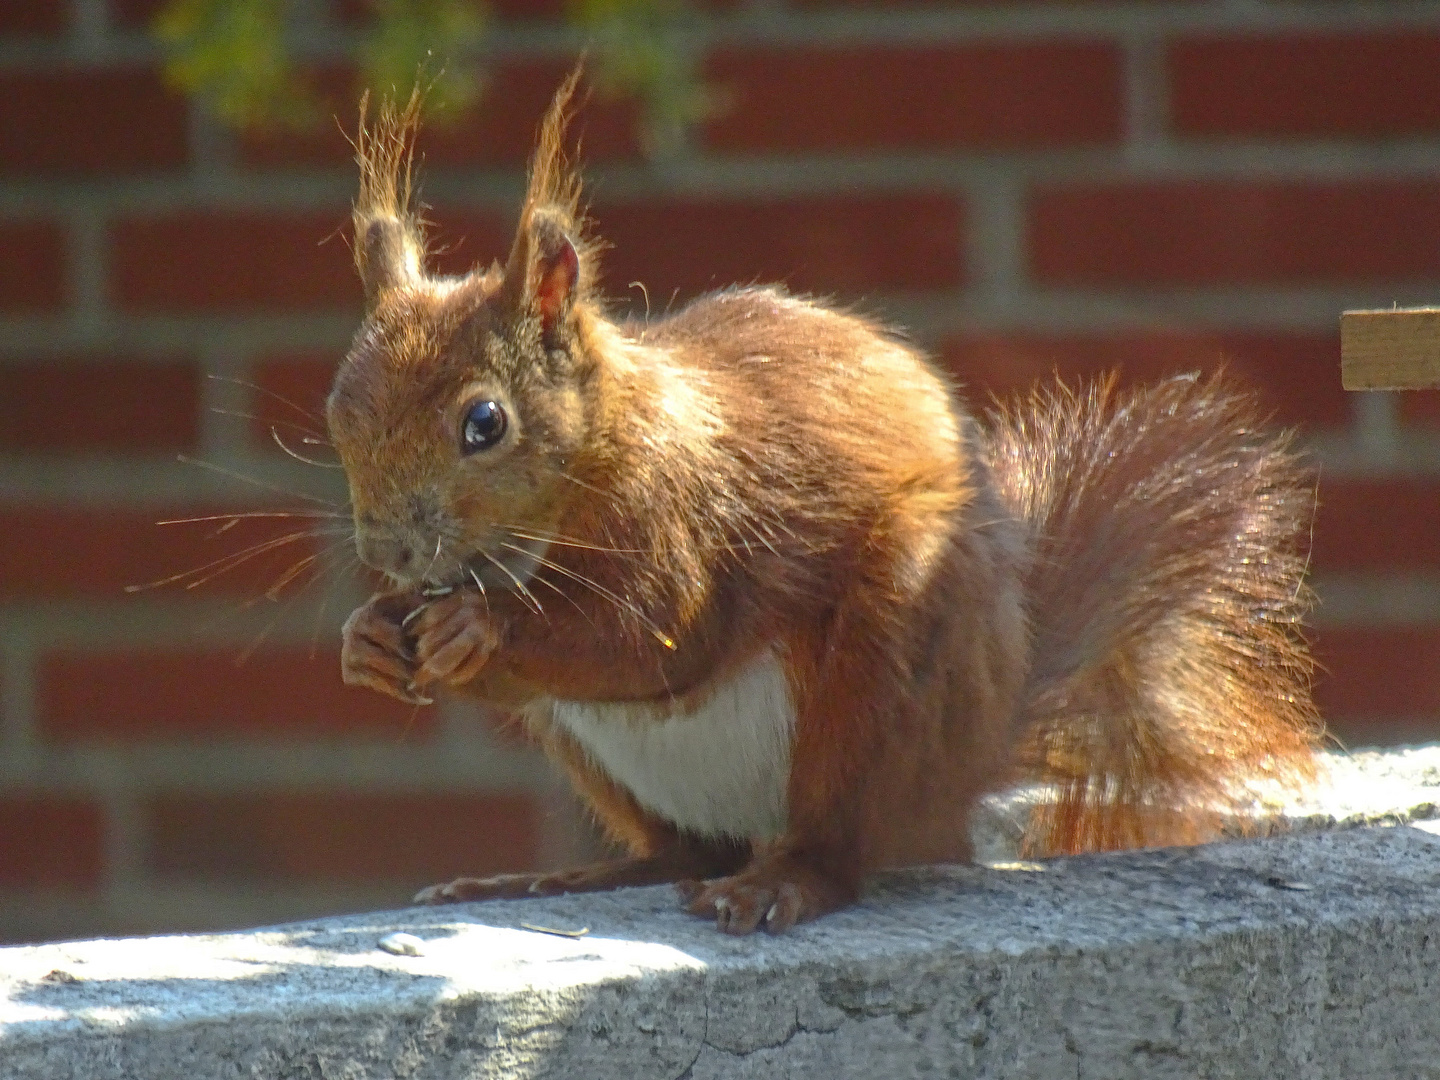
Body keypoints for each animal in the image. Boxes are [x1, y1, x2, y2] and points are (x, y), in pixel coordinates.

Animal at [331, 78, 1319, 938]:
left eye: (484, 423)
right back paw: (554, 878)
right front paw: (368, 637)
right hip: (585, 745)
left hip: (890, 665)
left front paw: (478, 629)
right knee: (683, 850)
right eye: (340, 410)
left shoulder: (685, 511)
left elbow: (654, 636)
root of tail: (965, 774)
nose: (389, 555)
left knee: (838, 843)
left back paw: (780, 883)